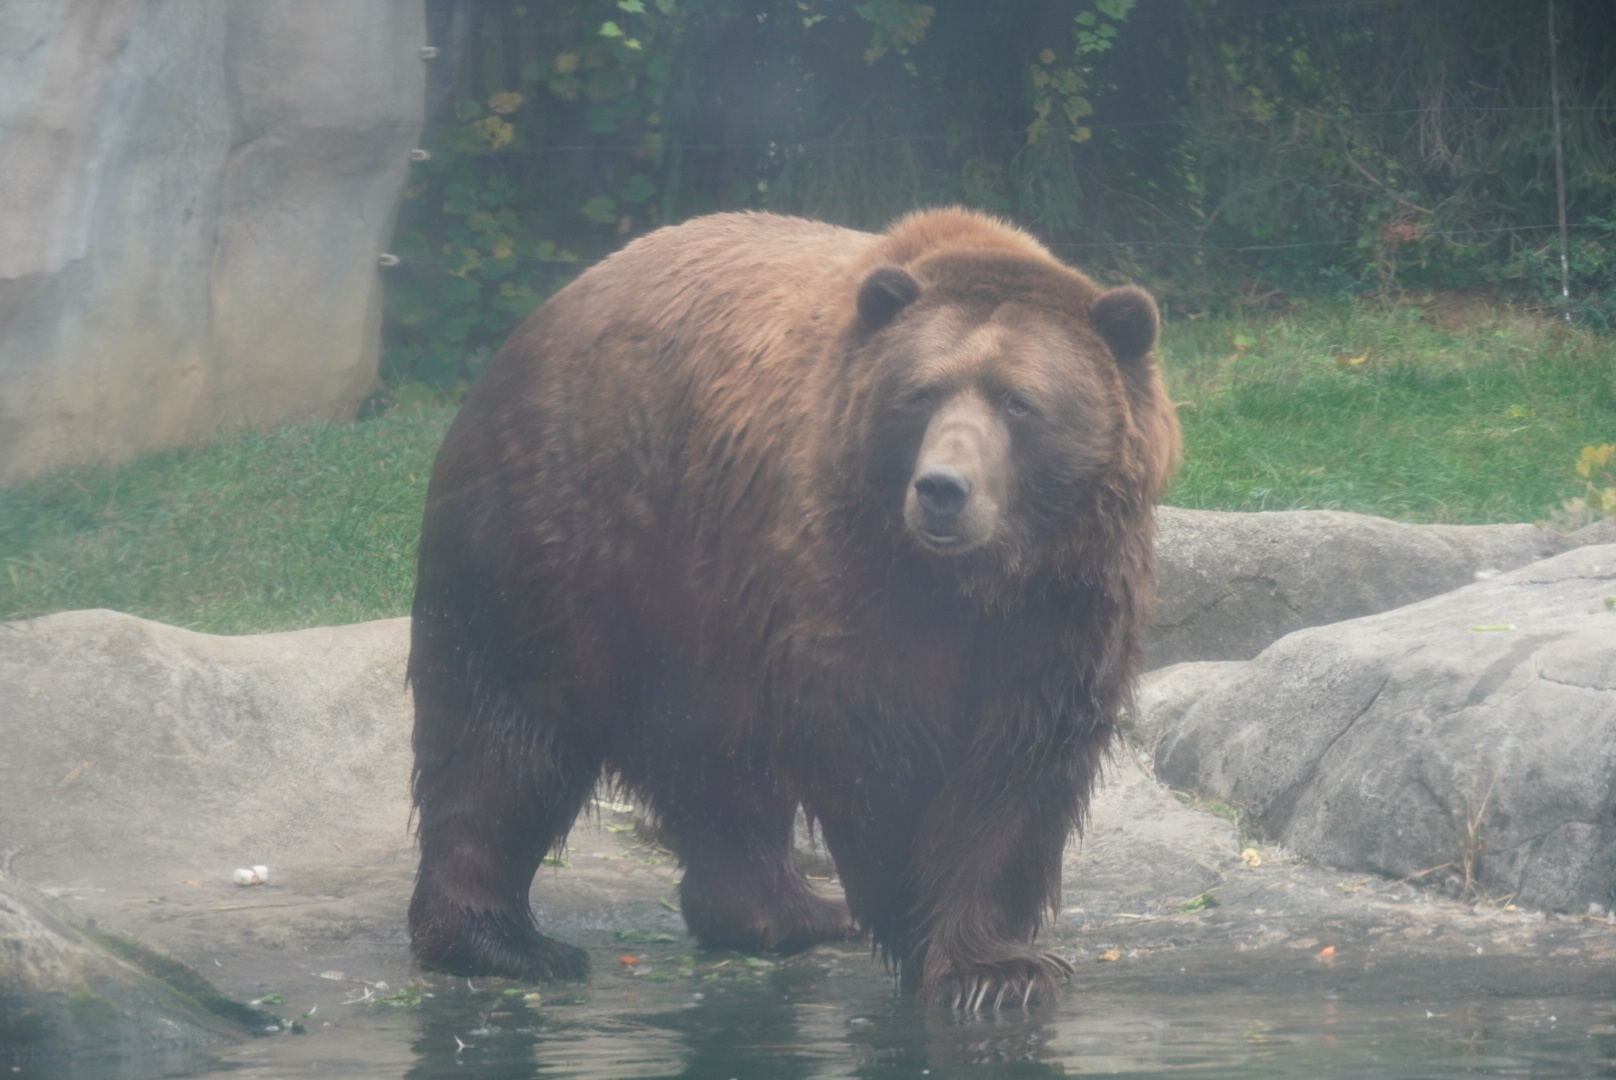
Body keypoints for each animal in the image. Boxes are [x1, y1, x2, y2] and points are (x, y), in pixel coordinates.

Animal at [406, 208, 1180, 1009]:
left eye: (1019, 402)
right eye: (922, 393)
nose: (943, 488)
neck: (970, 581)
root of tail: (540, 319)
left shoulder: (1066, 598)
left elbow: (1020, 763)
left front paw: (994, 965)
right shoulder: (843, 577)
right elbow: (881, 751)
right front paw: (923, 929)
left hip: (695, 602)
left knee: (714, 766)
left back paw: (784, 911)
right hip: (565, 538)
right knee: (504, 735)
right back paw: (504, 941)